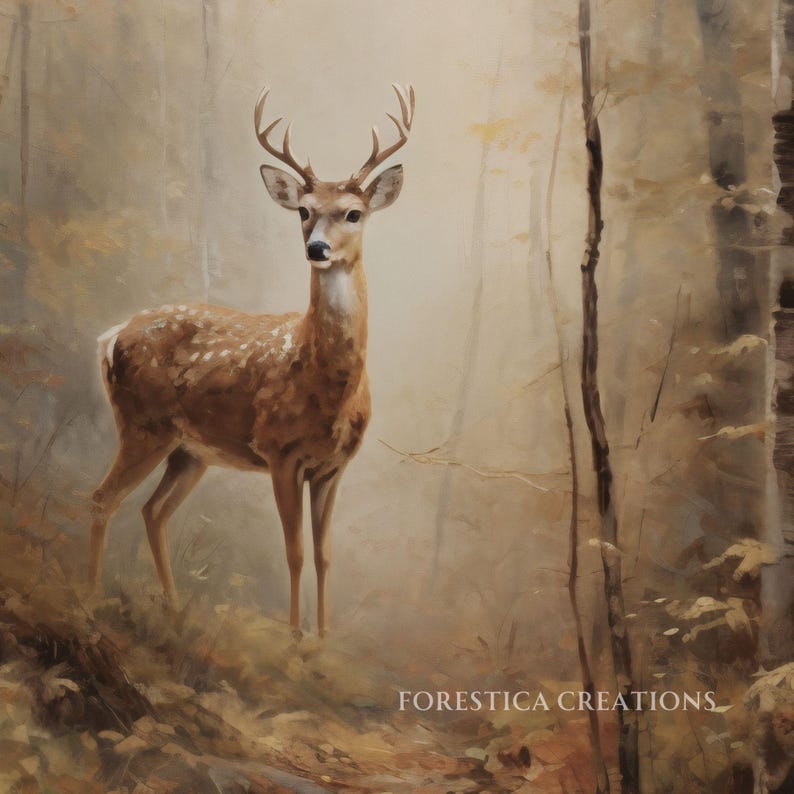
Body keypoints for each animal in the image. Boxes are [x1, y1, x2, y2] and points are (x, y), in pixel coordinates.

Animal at [88, 84, 414, 636]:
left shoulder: (333, 466)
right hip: (142, 424)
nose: (317, 248)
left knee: (153, 511)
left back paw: (174, 608)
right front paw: (293, 637)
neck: (329, 385)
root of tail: (110, 337)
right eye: (303, 210)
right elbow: (295, 552)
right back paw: (86, 599)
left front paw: (323, 638)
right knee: (102, 499)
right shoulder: (280, 452)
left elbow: (325, 555)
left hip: (189, 450)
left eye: (354, 213)